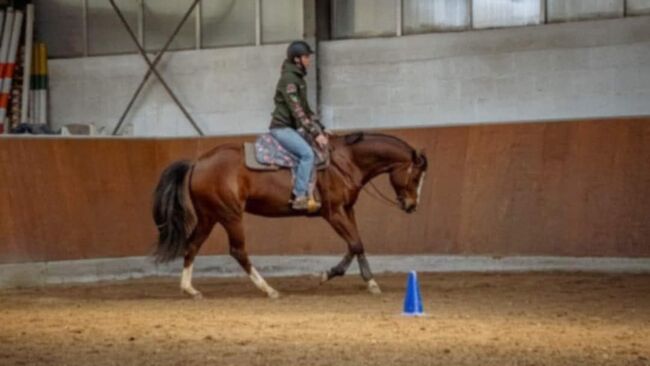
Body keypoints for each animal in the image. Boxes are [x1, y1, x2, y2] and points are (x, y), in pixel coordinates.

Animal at [152, 132, 426, 298]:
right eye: (415, 176)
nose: (412, 205)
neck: (346, 161)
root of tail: (197, 163)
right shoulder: (333, 212)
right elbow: (356, 243)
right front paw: (366, 282)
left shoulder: (348, 209)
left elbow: (355, 244)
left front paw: (341, 276)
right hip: (230, 216)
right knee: (238, 251)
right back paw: (269, 289)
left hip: (209, 217)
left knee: (192, 246)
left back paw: (190, 289)